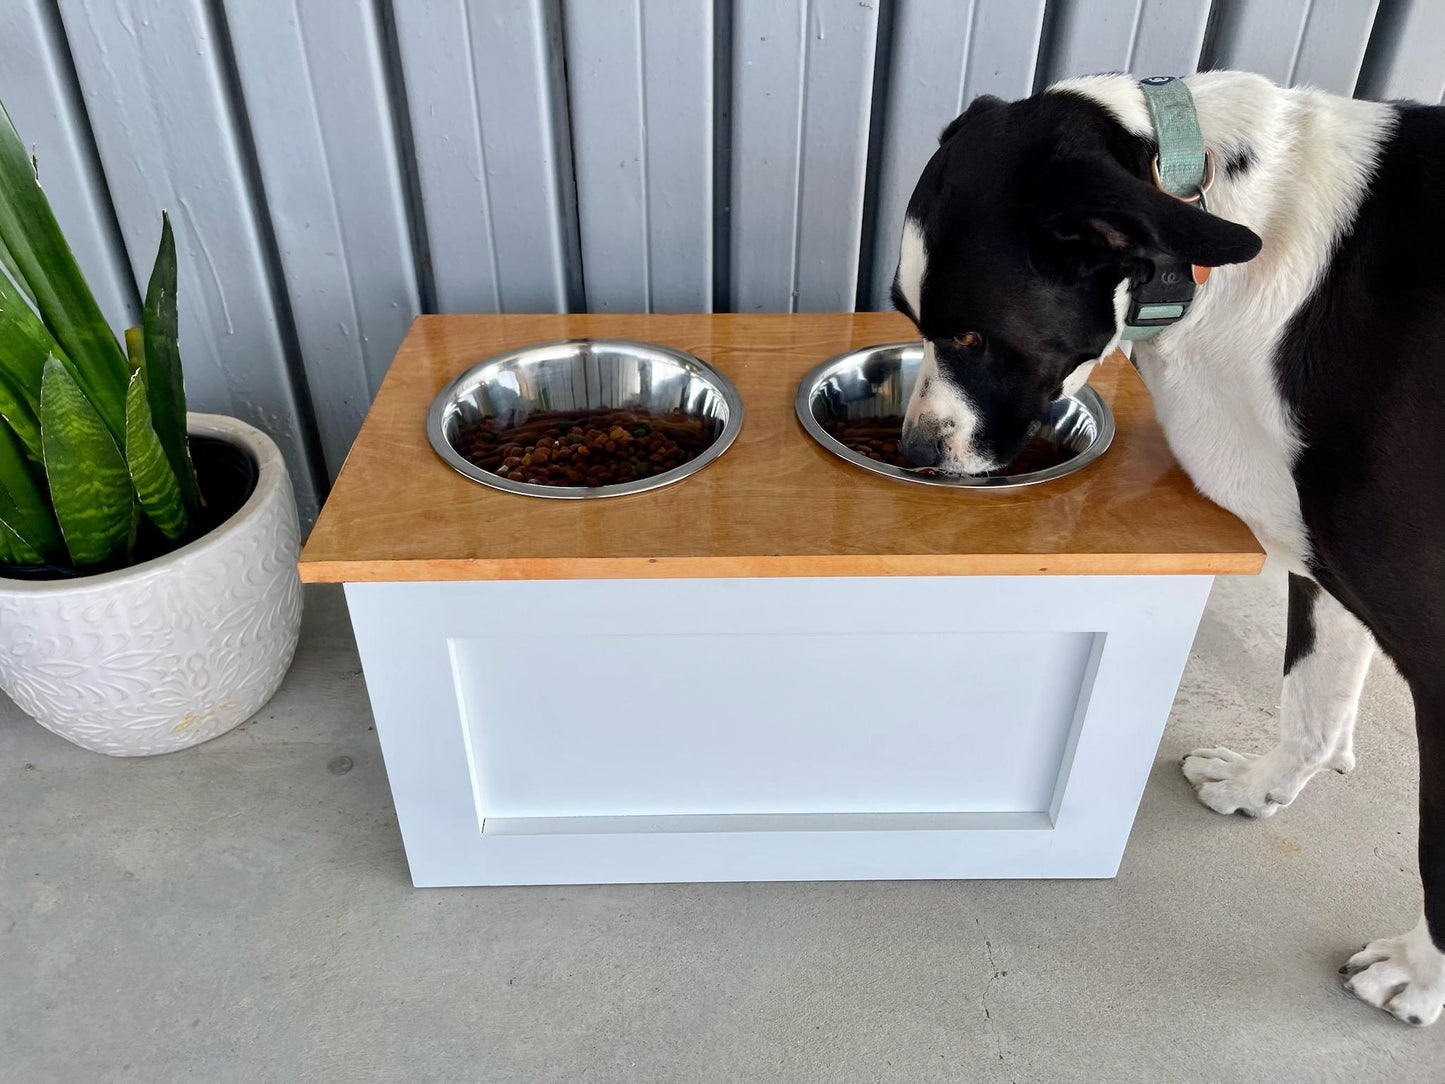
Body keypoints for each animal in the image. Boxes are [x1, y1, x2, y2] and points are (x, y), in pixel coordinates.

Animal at [895, 74, 1439, 1029]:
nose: (915, 453)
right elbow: (1310, 704)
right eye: (907, 319)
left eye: (969, 337)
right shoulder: (1325, 566)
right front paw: (1259, 789)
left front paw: (1416, 976)